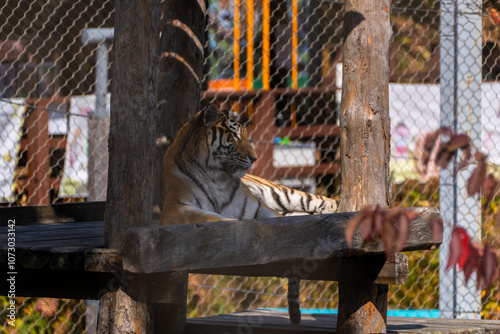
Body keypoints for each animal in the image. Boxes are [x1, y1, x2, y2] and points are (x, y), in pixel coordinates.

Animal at [160, 104, 340, 324]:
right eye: (234, 136)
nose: (254, 158)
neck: (216, 177)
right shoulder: (176, 210)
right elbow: (213, 219)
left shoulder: (259, 209)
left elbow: (279, 224)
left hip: (284, 194)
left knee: (327, 202)